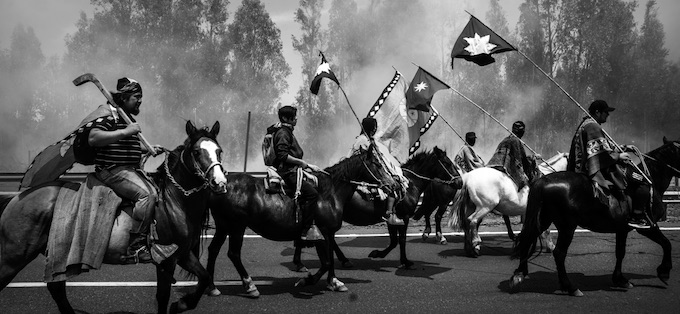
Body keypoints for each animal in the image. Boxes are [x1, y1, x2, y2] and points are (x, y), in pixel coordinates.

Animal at [0, 121, 228, 314]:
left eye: (219, 151)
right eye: (197, 152)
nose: (219, 183)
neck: (173, 201)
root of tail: (15, 198)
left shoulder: (183, 254)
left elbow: (204, 277)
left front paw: (183, 304)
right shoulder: (166, 260)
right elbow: (162, 297)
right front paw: (179, 303)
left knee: (57, 290)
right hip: (14, 256)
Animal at [202, 144, 398, 298]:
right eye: (377, 164)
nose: (394, 184)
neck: (330, 192)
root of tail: (218, 186)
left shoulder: (328, 233)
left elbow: (330, 260)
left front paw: (334, 282)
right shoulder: (322, 232)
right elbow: (326, 262)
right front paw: (306, 281)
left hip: (223, 226)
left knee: (213, 250)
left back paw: (211, 287)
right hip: (237, 226)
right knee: (233, 254)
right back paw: (250, 286)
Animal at [290, 146, 460, 272]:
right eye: (448, 163)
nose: (459, 182)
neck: (410, 184)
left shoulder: (392, 220)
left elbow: (394, 241)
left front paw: (381, 254)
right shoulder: (403, 217)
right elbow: (400, 241)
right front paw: (402, 260)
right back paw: (301, 263)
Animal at [508, 138, 676, 296]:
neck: (652, 180)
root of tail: (542, 181)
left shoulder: (622, 229)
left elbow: (620, 252)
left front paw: (620, 279)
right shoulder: (648, 226)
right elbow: (667, 244)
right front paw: (664, 272)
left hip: (543, 220)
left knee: (526, 241)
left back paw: (519, 275)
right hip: (567, 226)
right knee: (559, 253)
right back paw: (570, 287)